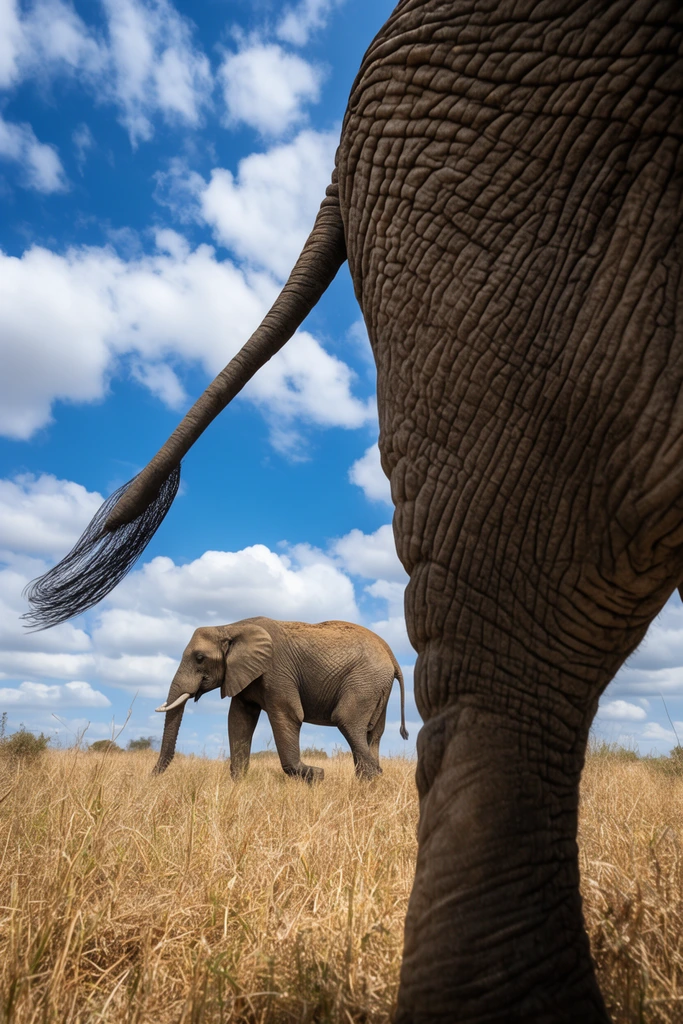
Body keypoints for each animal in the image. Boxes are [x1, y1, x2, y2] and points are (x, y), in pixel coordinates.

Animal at [152, 617, 408, 781]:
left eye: (199, 658)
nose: (152, 777)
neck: (229, 627)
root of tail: (391, 654)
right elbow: (239, 721)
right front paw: (238, 783)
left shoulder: (277, 672)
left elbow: (288, 716)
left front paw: (318, 775)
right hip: (376, 686)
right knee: (372, 733)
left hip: (364, 681)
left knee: (347, 721)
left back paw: (374, 777)